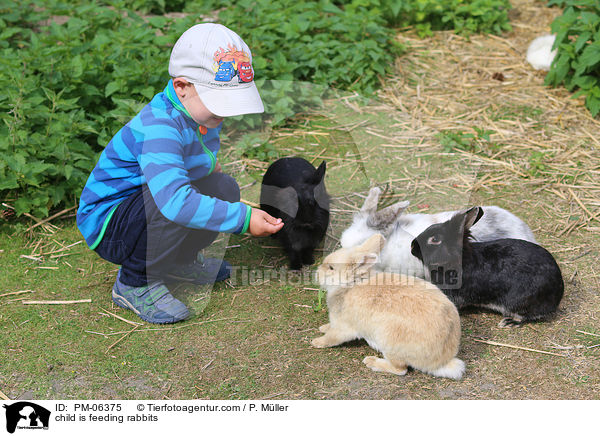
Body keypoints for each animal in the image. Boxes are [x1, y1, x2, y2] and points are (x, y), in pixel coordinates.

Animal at [312, 233, 466, 380]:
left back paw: (372, 362)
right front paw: (323, 328)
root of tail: (440, 360)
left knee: (400, 369)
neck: (351, 284)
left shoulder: (343, 328)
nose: (317, 274)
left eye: (331, 268)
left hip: (388, 343)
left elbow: (332, 338)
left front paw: (316, 342)